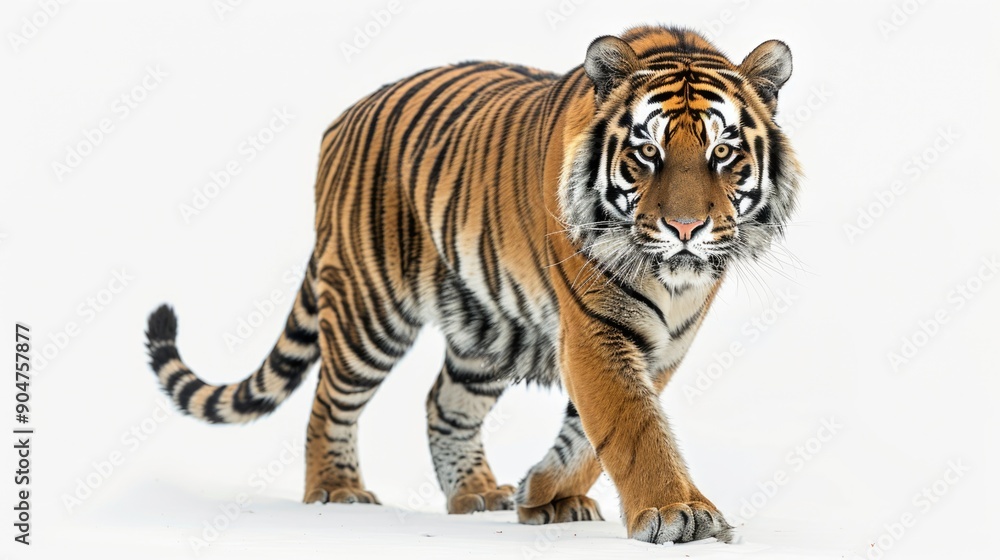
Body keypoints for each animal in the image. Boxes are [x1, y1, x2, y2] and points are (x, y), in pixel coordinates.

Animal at [144, 25, 800, 544]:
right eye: (646, 152)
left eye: (722, 153)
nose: (685, 228)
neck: (673, 281)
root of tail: (343, 119)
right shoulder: (596, 329)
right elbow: (633, 424)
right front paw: (677, 513)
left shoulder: (665, 342)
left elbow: (592, 436)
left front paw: (545, 492)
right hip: (368, 309)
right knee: (328, 400)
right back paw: (336, 489)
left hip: (484, 327)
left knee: (444, 402)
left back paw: (477, 494)